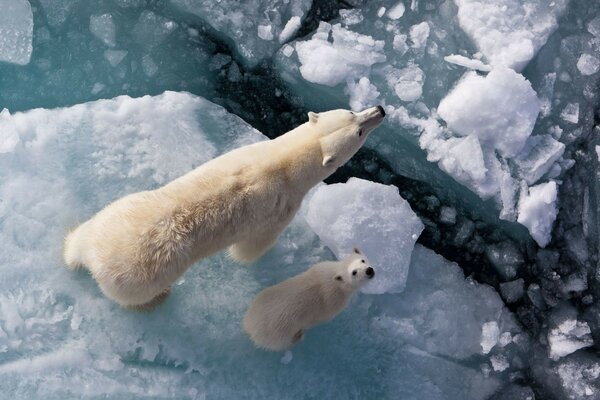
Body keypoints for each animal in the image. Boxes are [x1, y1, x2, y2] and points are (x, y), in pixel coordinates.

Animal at [64, 104, 384, 308]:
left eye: (352, 113)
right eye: (358, 129)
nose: (380, 109)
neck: (283, 162)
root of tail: (94, 257)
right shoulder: (280, 207)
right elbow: (252, 247)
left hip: (117, 211)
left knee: (81, 234)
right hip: (139, 277)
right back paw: (160, 297)